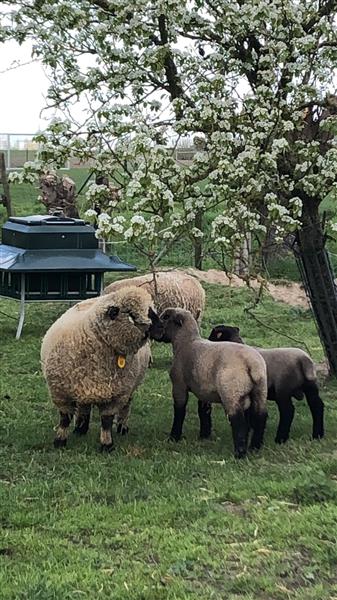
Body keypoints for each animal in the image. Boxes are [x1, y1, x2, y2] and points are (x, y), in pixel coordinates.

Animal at [40, 286, 161, 450]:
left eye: (152, 309)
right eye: (132, 315)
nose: (161, 328)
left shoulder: (116, 396)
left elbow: (106, 421)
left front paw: (106, 445)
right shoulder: (60, 392)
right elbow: (64, 419)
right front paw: (59, 441)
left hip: (129, 388)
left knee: (126, 407)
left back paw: (122, 427)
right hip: (81, 386)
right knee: (84, 406)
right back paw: (80, 429)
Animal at [150, 310, 268, 460]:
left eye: (165, 317)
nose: (151, 330)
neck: (185, 342)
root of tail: (251, 363)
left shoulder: (179, 385)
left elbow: (179, 411)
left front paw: (174, 437)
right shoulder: (204, 390)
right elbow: (204, 411)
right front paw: (204, 435)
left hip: (231, 392)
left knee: (238, 420)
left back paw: (240, 453)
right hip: (260, 391)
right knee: (260, 417)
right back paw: (255, 447)